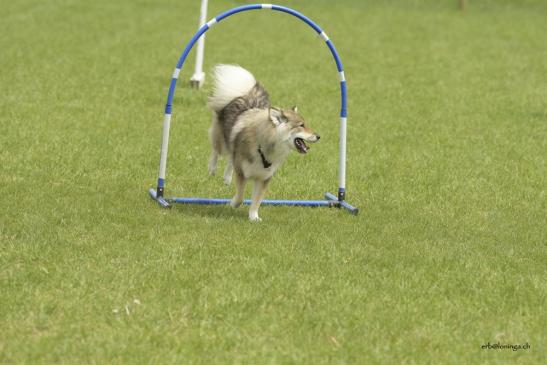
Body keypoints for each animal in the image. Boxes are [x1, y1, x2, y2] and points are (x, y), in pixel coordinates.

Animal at [209, 64, 322, 220]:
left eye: (305, 124)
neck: (263, 147)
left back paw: (226, 178)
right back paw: (212, 170)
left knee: (230, 160)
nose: (318, 136)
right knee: (216, 151)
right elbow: (240, 197)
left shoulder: (264, 178)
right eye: (301, 125)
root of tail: (244, 94)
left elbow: (257, 201)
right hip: (221, 139)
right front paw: (232, 204)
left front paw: (253, 217)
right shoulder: (243, 173)